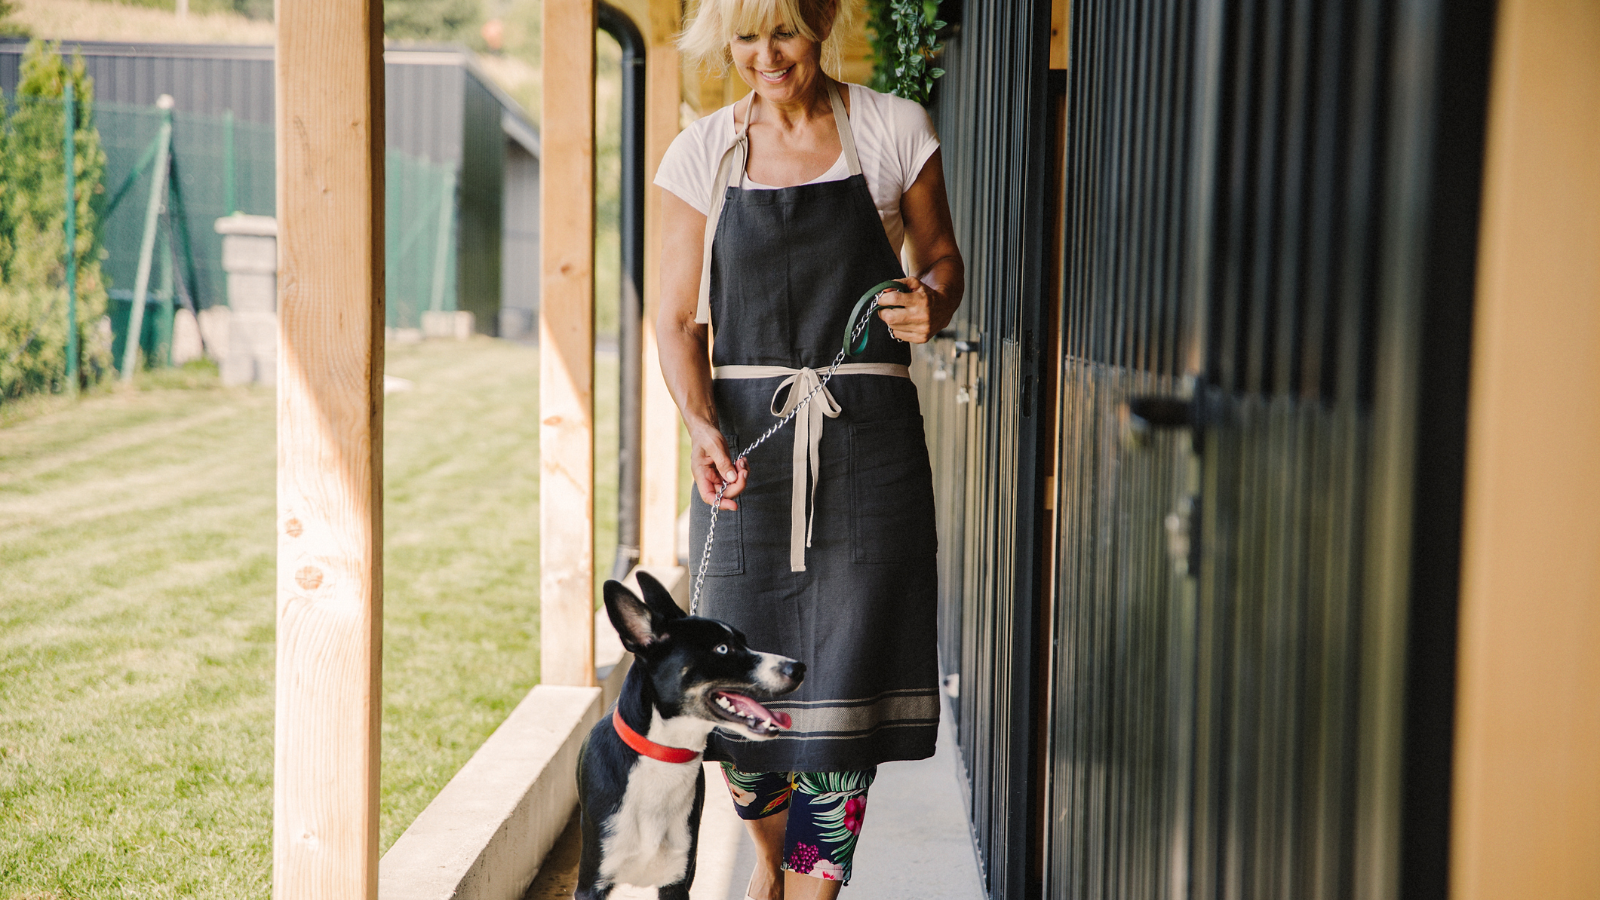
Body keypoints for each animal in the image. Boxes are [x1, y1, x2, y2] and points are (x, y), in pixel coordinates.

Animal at [576, 573, 806, 896]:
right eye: (722, 649)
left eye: (745, 642)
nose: (799, 667)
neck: (664, 756)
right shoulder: (591, 884)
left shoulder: (677, 880)